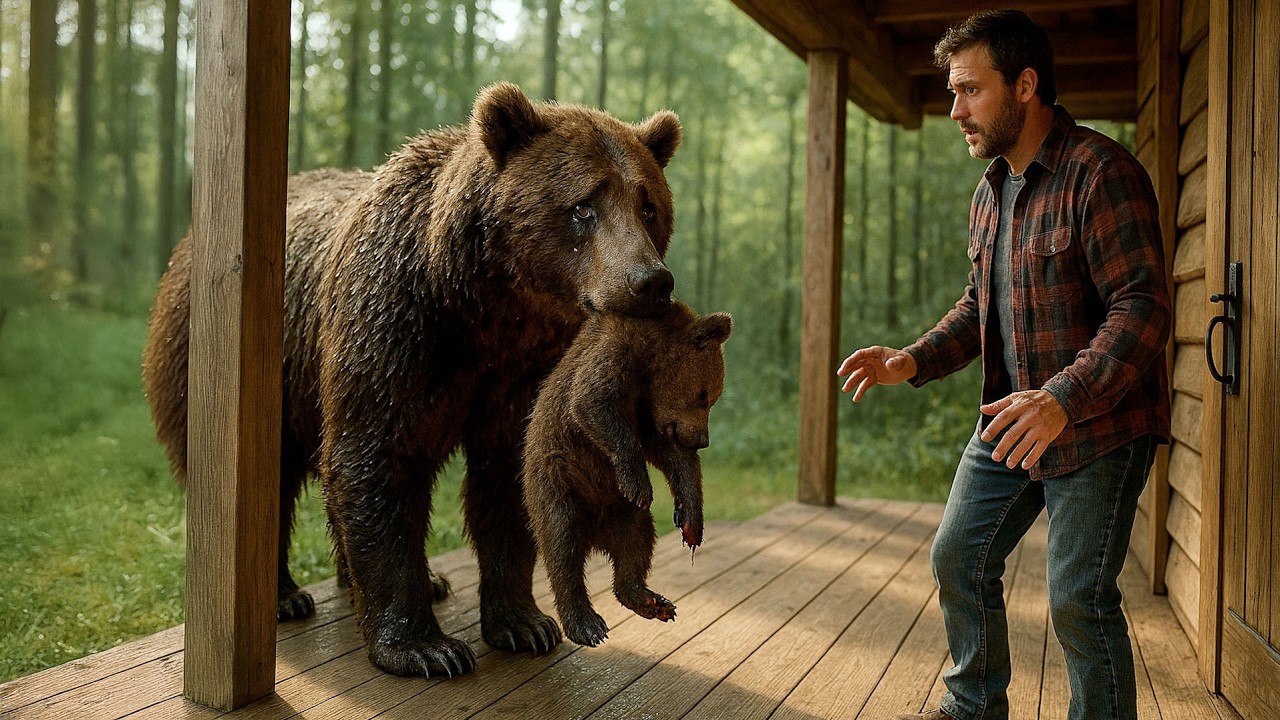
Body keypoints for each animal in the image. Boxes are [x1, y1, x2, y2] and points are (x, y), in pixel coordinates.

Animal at [140, 81, 682, 678]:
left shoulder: (521, 368)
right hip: (240, 360)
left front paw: (524, 623)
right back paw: (285, 596)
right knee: (267, 475)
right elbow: (377, 455)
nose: (649, 281)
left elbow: (508, 472)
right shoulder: (396, 325)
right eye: (583, 205)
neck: (486, 307)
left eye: (648, 205)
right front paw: (426, 647)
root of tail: (183, 250)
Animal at [521, 300, 732, 647]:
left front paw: (690, 521)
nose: (702, 440)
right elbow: (592, 404)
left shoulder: (651, 415)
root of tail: (596, 537)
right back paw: (585, 623)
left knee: (637, 543)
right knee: (562, 544)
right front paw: (638, 484)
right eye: (705, 395)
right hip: (556, 485)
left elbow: (674, 459)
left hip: (622, 513)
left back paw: (651, 601)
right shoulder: (612, 356)